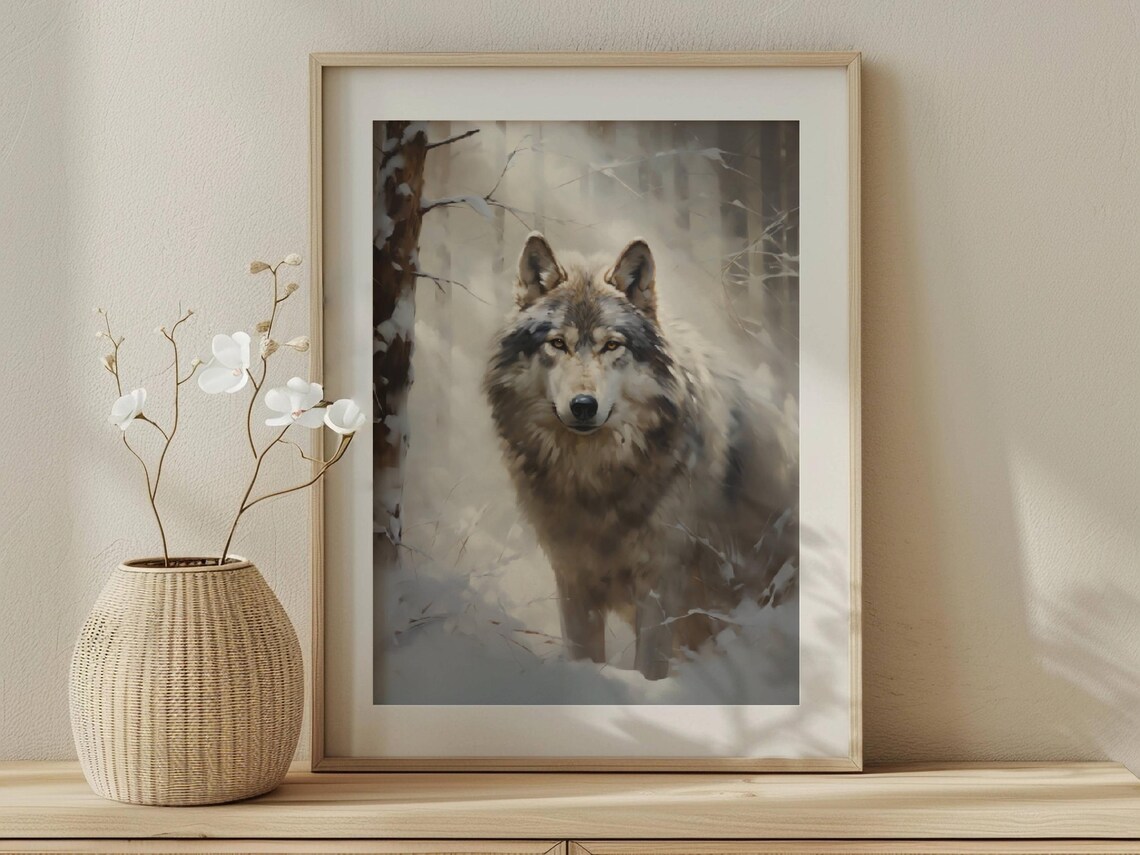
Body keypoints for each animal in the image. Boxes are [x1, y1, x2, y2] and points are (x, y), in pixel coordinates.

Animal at [483, 233, 798, 680]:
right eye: (557, 343)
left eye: (611, 345)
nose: (583, 406)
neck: (595, 482)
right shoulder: (572, 580)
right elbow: (583, 657)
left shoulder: (660, 585)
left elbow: (650, 668)